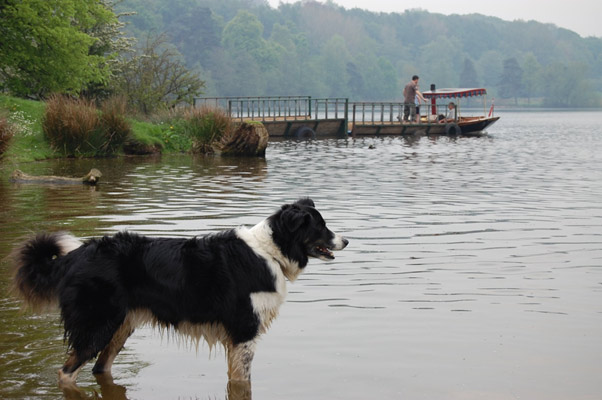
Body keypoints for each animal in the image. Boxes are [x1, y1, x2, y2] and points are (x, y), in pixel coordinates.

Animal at [10, 198, 346, 386]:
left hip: (120, 327)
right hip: (97, 326)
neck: (271, 251)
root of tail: (74, 255)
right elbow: (242, 381)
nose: (346, 241)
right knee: (67, 373)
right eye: (320, 226)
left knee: (99, 369)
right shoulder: (243, 332)